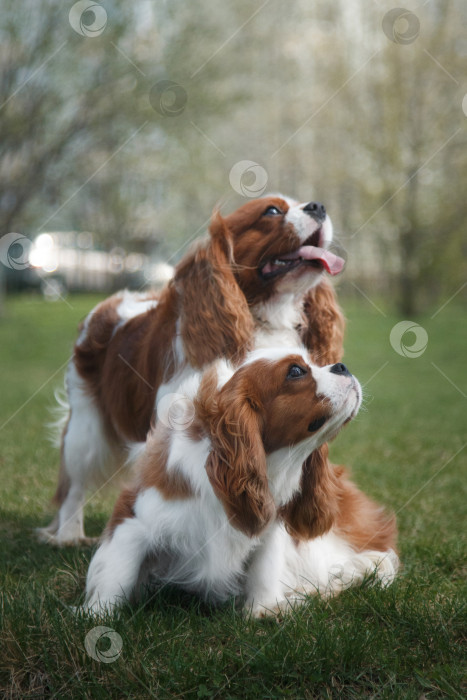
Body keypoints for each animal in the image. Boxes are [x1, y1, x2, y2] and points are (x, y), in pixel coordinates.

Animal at [38, 194, 348, 544]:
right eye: (271, 211)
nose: (318, 206)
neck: (264, 322)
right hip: (85, 426)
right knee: (74, 485)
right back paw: (68, 535)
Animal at [84, 348, 398, 616]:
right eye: (296, 371)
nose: (342, 366)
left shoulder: (272, 525)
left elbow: (266, 565)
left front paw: (264, 609)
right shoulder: (133, 517)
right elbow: (118, 571)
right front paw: (97, 615)